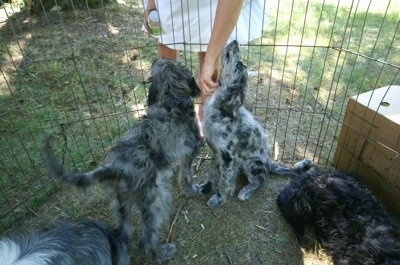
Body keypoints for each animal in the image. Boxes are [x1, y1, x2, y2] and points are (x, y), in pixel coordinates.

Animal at [43, 58, 203, 264]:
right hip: (157, 199)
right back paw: (161, 254)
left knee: (125, 233)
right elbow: (186, 177)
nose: (155, 59)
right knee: (147, 240)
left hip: (121, 204)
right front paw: (192, 191)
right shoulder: (189, 152)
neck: (171, 99)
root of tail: (114, 167)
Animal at [198, 40, 314, 207]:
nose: (235, 41)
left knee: (260, 181)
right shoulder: (215, 152)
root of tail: (269, 163)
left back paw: (246, 190)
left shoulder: (228, 158)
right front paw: (206, 186)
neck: (221, 112)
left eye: (240, 65)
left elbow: (224, 182)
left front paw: (219, 197)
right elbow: (212, 173)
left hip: (252, 164)